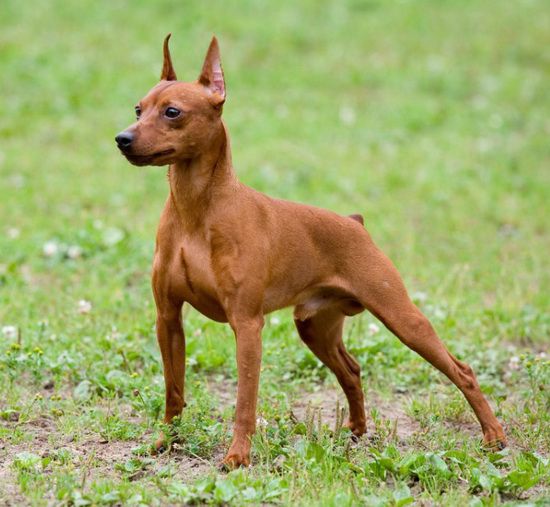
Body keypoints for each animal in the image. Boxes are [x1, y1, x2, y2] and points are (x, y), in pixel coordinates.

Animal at [116, 33, 508, 466]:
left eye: (173, 112)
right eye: (138, 109)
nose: (122, 139)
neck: (195, 209)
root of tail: (355, 223)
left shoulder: (247, 325)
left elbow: (244, 402)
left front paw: (237, 456)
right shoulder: (168, 318)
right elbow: (174, 390)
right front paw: (167, 441)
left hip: (402, 318)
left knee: (462, 370)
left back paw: (493, 436)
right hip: (315, 328)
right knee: (352, 370)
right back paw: (356, 431)